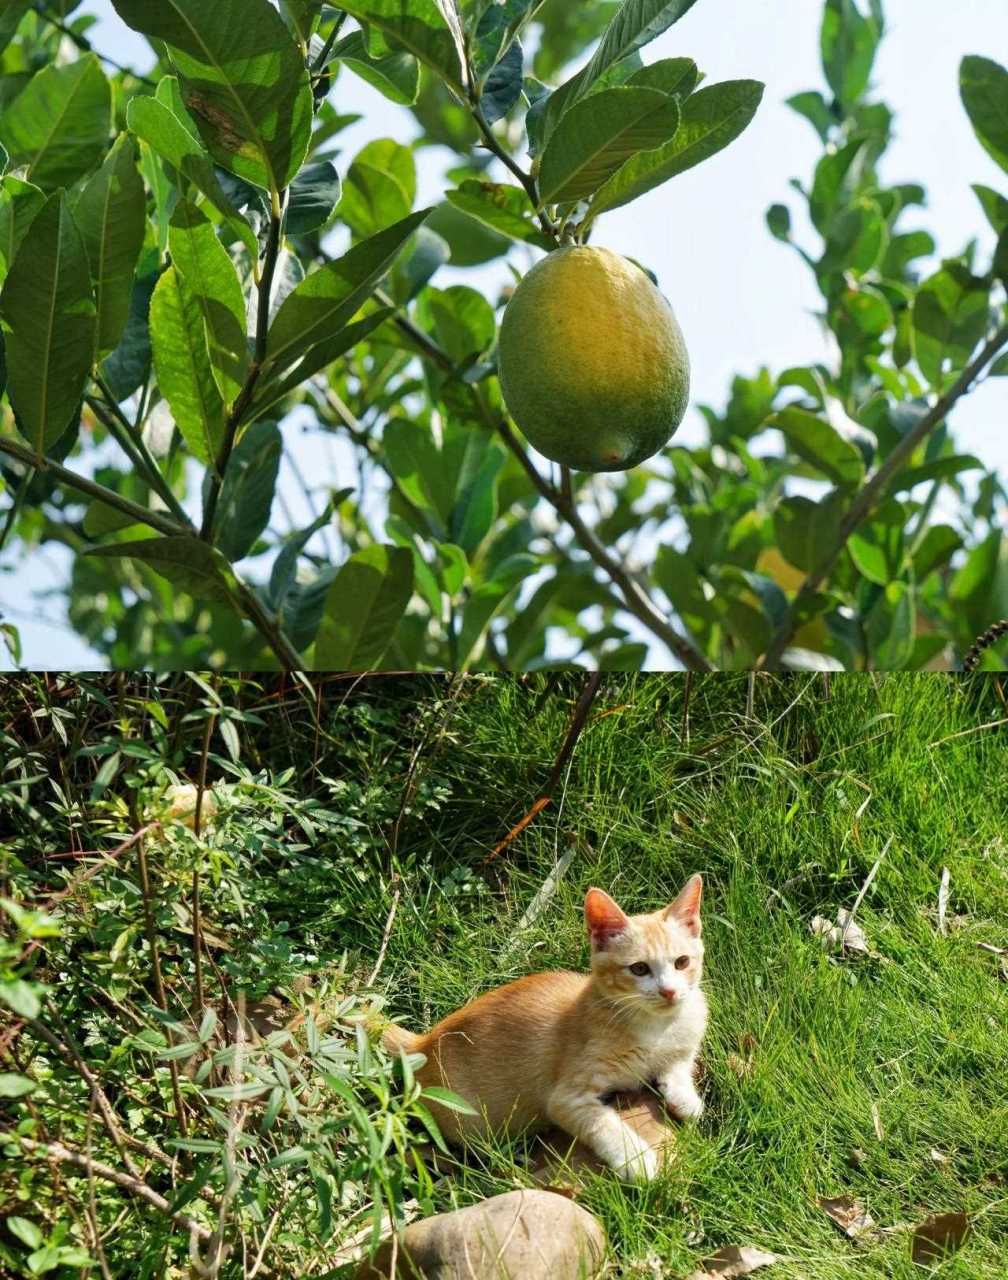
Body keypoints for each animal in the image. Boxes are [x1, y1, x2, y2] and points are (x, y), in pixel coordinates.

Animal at [386, 875, 711, 1182]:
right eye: (639, 968)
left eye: (682, 962)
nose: (669, 992)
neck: (657, 1027)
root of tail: (421, 1043)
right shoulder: (566, 1098)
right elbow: (601, 1122)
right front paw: (635, 1158)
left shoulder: (688, 1034)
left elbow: (679, 1064)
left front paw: (685, 1098)